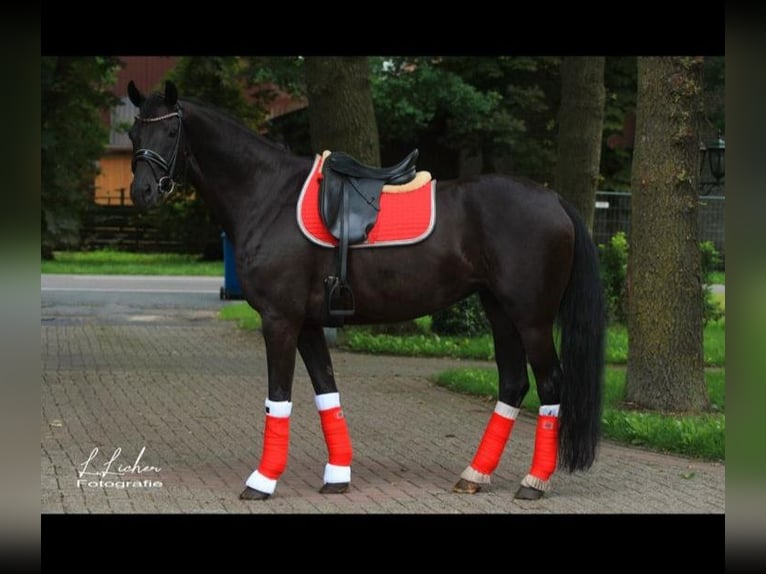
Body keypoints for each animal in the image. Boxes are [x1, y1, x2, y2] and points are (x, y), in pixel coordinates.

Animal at [127, 80, 605, 502]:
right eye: (134, 132)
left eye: (170, 131)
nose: (142, 192)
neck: (268, 196)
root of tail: (554, 200)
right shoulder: (307, 324)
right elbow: (326, 392)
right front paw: (338, 476)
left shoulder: (279, 321)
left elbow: (277, 399)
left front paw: (262, 482)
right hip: (499, 311)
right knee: (512, 383)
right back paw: (475, 474)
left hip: (532, 319)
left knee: (551, 385)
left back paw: (532, 482)